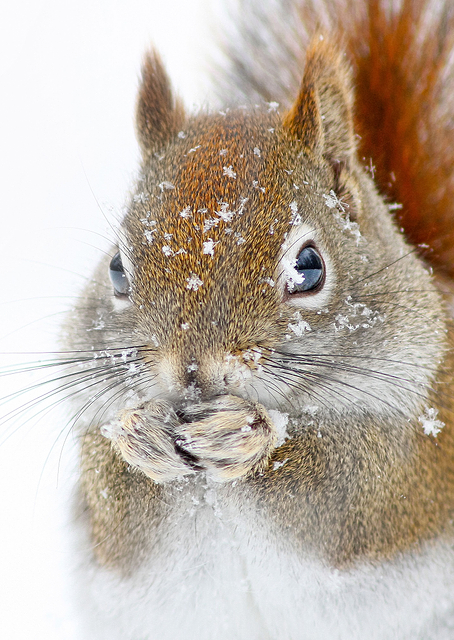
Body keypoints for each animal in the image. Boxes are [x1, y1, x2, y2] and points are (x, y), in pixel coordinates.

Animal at [63, 0, 454, 638]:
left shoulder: (416, 456)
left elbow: (346, 487)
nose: (191, 370)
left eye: (310, 266)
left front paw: (248, 432)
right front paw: (140, 435)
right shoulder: (111, 527)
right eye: (117, 270)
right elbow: (117, 503)